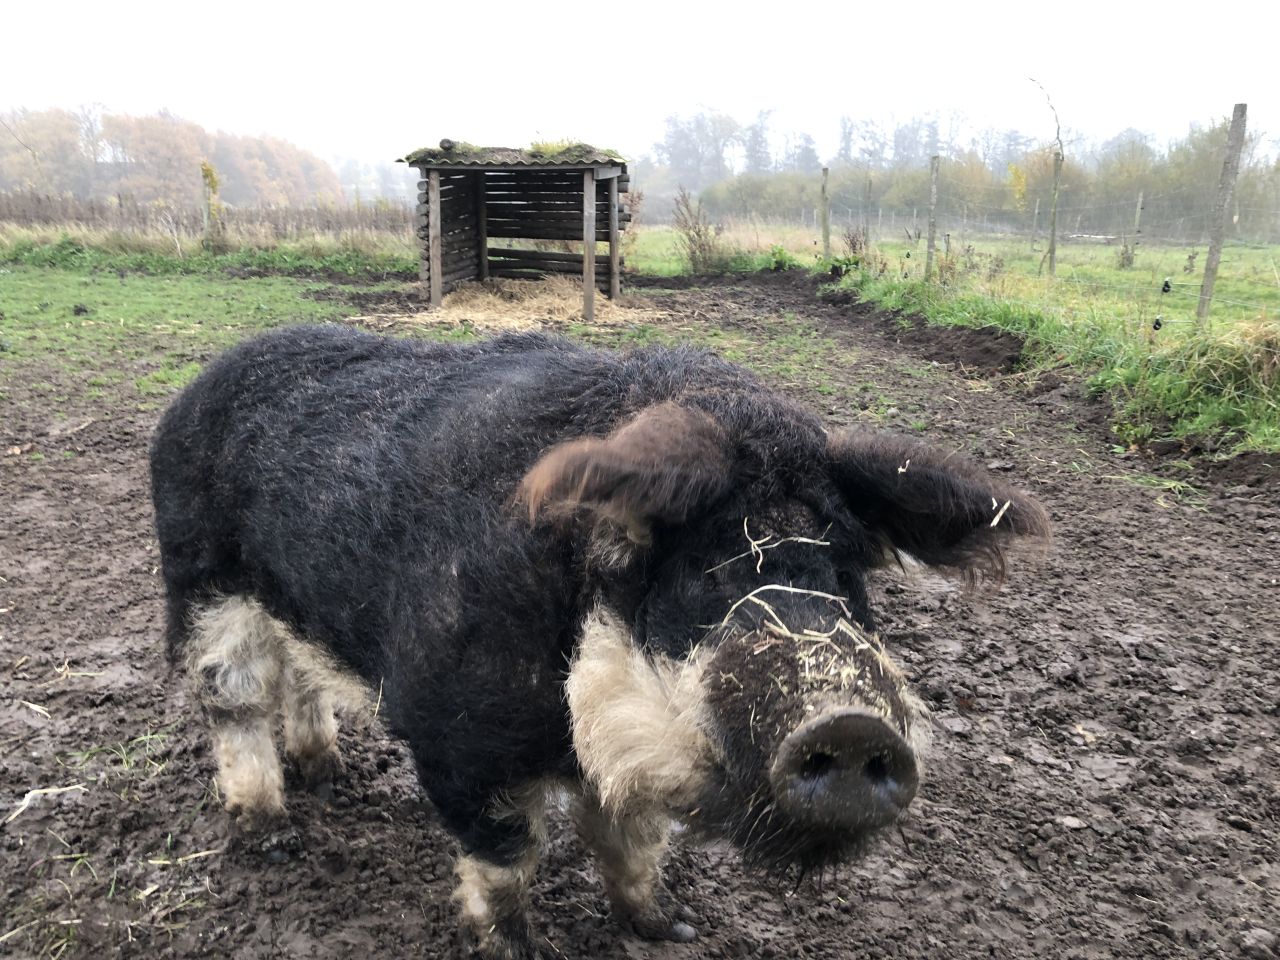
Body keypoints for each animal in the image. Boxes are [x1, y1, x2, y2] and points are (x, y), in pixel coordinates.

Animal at [152, 325, 1049, 960]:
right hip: (202, 578)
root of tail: (199, 383)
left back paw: (328, 775)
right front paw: (518, 950)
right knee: (231, 694)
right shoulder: (457, 739)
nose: (851, 725)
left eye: (849, 575)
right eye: (701, 576)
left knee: (298, 678)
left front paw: (674, 928)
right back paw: (271, 833)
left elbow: (635, 841)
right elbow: (508, 858)